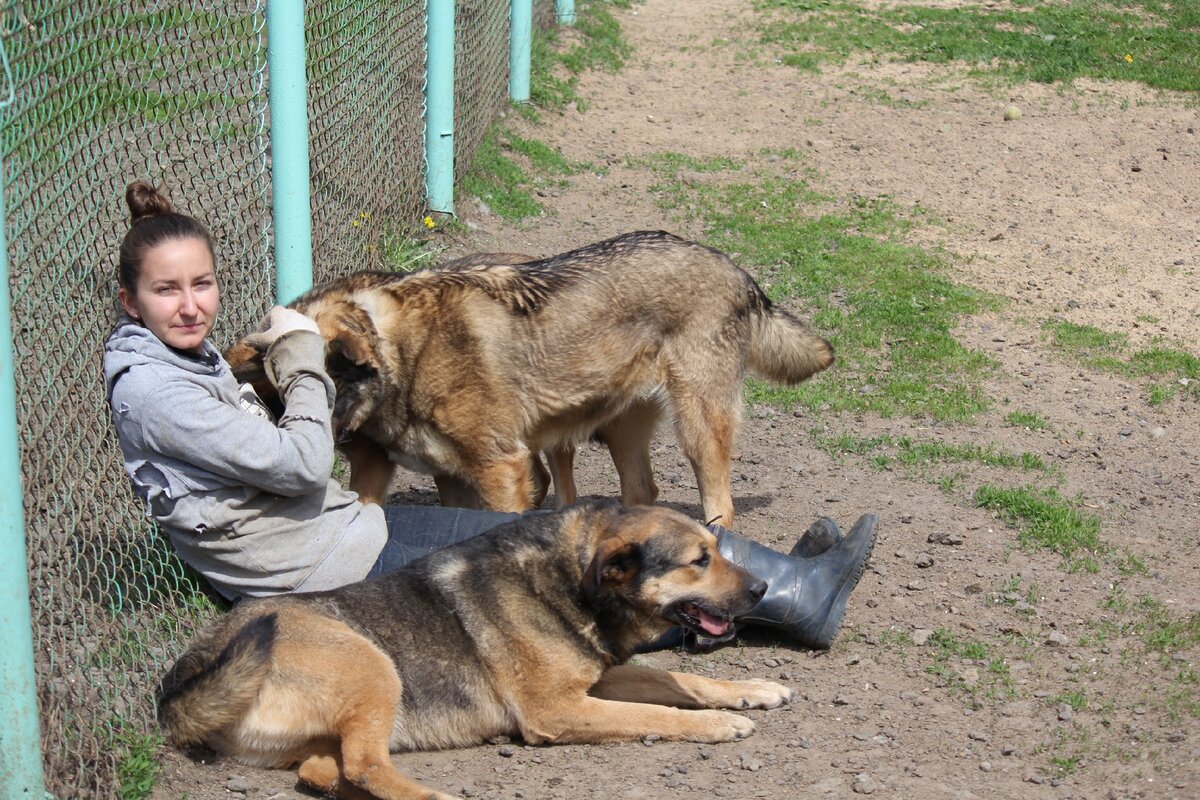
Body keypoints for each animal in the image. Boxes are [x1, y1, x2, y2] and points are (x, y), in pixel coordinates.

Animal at [159, 503, 796, 796]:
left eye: (717, 547)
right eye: (698, 561)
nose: (764, 590)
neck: (571, 578)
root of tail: (183, 682)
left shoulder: (591, 679)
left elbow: (676, 682)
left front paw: (751, 690)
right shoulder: (555, 710)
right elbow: (657, 714)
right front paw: (716, 724)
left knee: (327, 771)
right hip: (374, 664)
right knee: (365, 766)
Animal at [225, 230, 830, 525]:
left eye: (321, 386)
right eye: (278, 403)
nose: (328, 447)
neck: (405, 356)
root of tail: (737, 270)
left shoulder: (502, 469)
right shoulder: (441, 475)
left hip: (697, 428)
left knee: (719, 500)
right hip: (620, 431)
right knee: (642, 490)